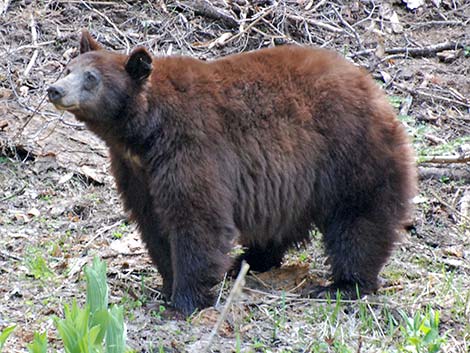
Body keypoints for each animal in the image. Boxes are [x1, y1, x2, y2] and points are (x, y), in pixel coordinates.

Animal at [46, 31, 414, 316]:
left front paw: (184, 300)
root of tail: (376, 91)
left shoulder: (191, 147)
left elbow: (197, 219)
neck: (145, 133)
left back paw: (343, 284)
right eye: (68, 68)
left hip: (350, 150)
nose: (54, 89)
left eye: (91, 78)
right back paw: (247, 260)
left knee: (359, 218)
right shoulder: (137, 172)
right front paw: (167, 284)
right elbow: (151, 222)